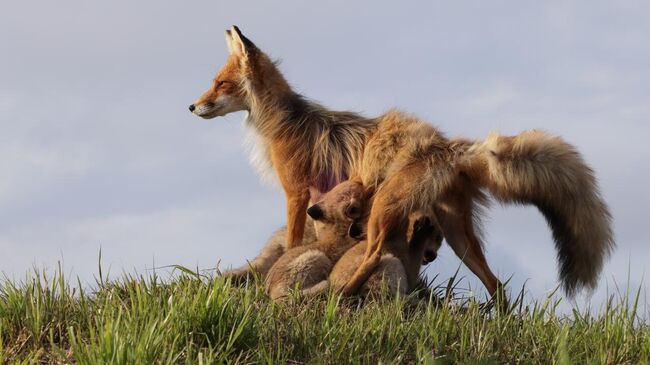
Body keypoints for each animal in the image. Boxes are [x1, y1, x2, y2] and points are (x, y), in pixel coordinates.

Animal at [189, 25, 612, 298]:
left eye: (220, 84)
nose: (192, 106)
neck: (282, 122)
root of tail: (447, 146)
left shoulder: (296, 192)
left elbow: (293, 242)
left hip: (385, 207)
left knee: (375, 252)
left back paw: (347, 291)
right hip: (457, 235)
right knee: (496, 284)